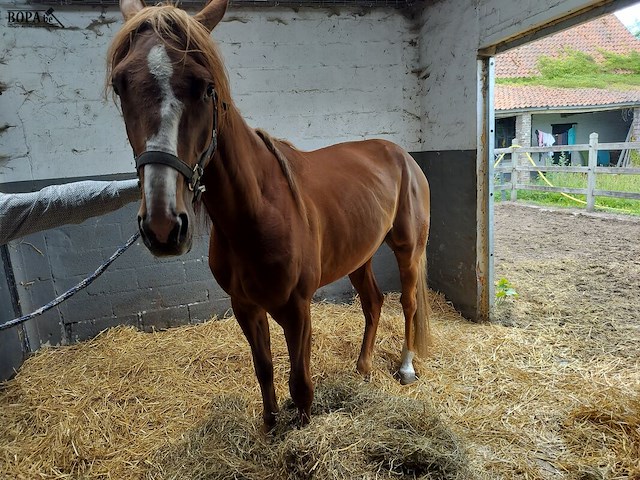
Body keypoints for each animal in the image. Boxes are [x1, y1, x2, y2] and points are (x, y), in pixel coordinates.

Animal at [107, 0, 431, 430]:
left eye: (205, 86)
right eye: (120, 85)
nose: (162, 226)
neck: (257, 212)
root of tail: (403, 155)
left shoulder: (296, 309)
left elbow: (301, 384)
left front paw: (302, 427)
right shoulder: (245, 307)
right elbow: (264, 370)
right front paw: (272, 426)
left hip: (408, 248)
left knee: (408, 303)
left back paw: (407, 367)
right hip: (359, 255)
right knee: (374, 303)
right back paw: (362, 366)